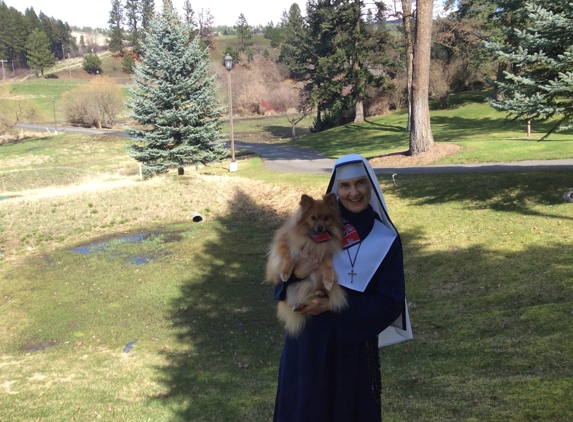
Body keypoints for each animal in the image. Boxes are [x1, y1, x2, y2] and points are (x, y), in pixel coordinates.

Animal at [266, 194, 346, 336]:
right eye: (313, 217)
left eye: (326, 217)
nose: (320, 227)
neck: (313, 240)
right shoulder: (285, 243)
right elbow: (289, 257)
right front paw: (285, 273)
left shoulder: (325, 255)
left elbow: (328, 267)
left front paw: (328, 281)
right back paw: (299, 305)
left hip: (314, 277)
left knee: (315, 292)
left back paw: (317, 294)